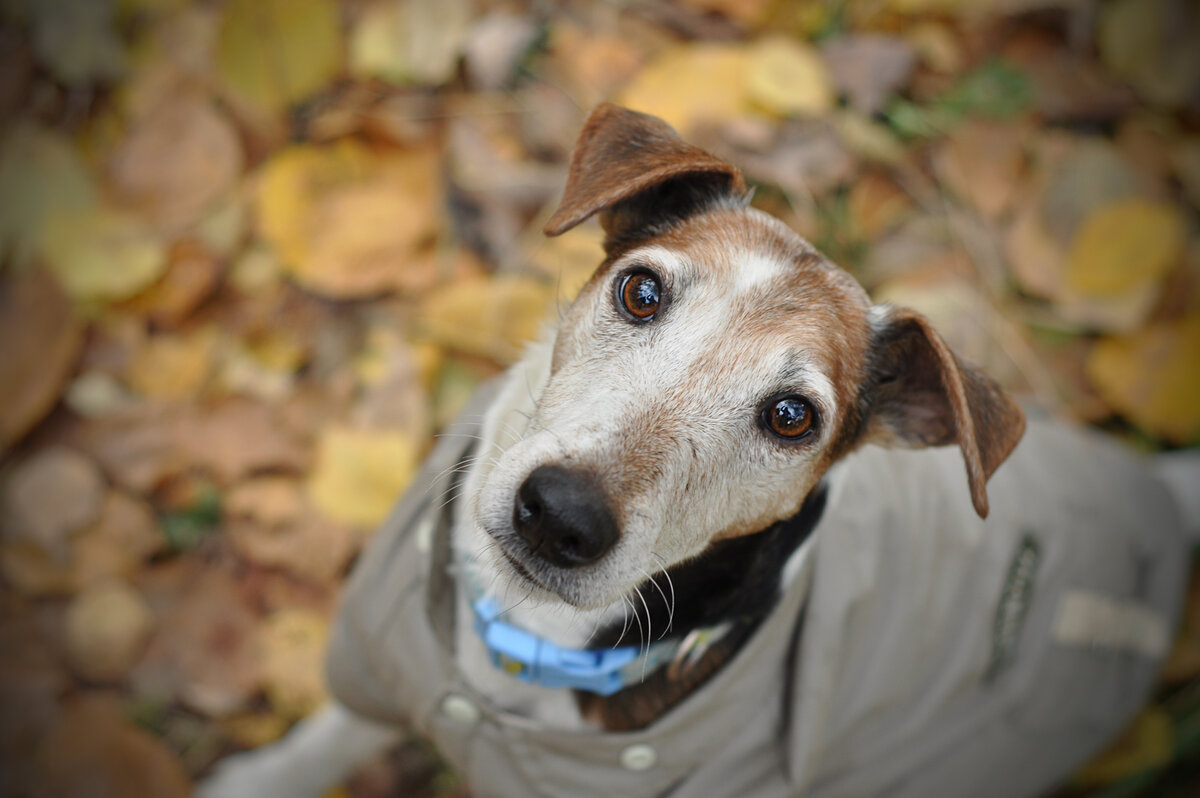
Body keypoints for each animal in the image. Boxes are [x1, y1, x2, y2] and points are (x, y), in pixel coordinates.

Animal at [201, 104, 1195, 796]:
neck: (531, 648)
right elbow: (331, 733)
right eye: (641, 291)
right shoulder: (389, 653)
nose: (560, 516)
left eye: (791, 416)